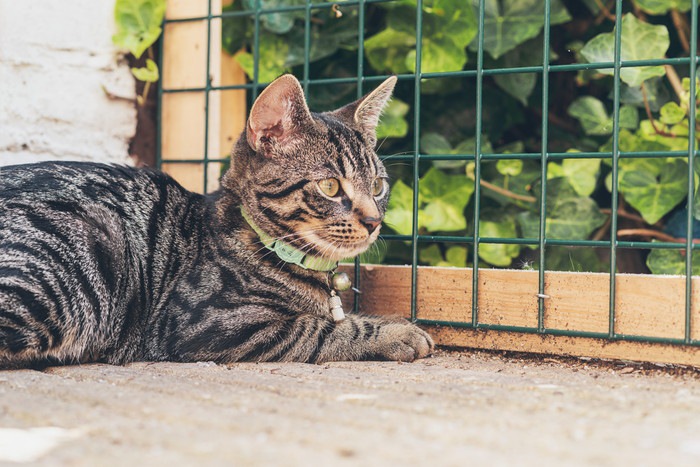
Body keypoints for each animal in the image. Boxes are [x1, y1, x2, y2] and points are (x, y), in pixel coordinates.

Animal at [0, 75, 432, 368]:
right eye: (329, 186)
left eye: (377, 185)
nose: (374, 221)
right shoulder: (208, 322)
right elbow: (319, 328)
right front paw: (397, 331)